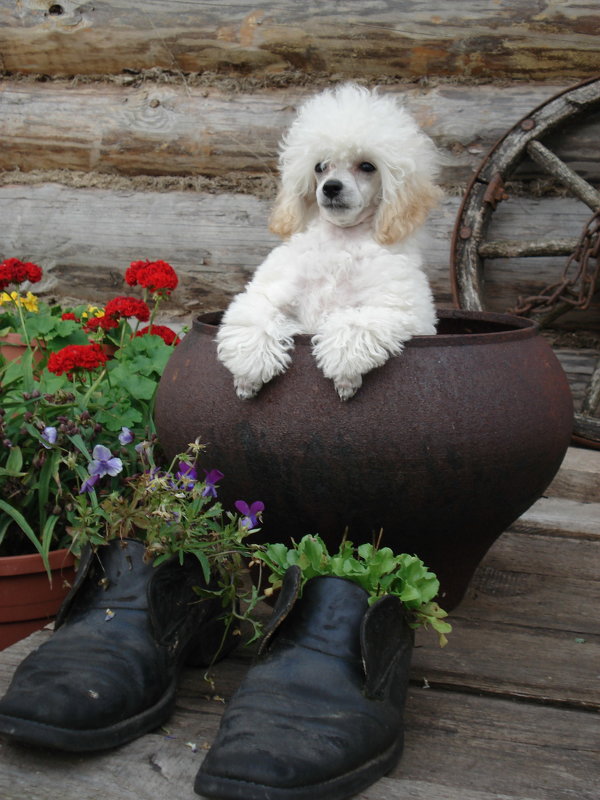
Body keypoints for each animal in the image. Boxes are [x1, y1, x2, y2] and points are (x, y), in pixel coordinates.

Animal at [216, 83, 440, 400]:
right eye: (319, 167)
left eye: (367, 166)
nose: (331, 188)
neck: (341, 239)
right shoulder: (267, 295)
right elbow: (258, 318)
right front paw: (250, 371)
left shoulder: (399, 310)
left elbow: (353, 320)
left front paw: (344, 370)